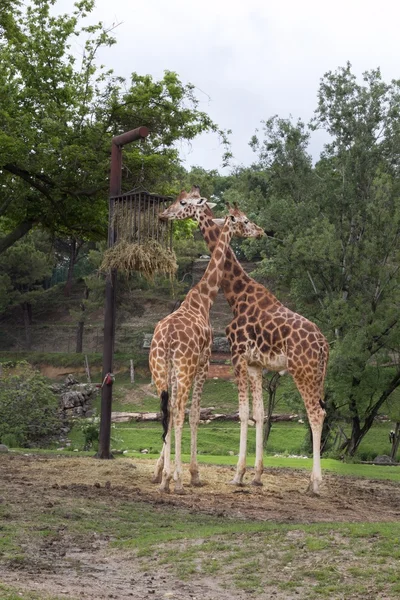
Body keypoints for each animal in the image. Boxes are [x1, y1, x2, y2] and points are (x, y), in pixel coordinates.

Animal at [148, 204, 264, 494]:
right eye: (245, 220)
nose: (260, 231)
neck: (203, 298)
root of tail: (167, 339)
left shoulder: (175, 371)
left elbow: (174, 413)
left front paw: (164, 474)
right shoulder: (204, 361)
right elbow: (194, 415)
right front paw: (192, 475)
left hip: (160, 369)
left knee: (167, 411)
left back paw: (167, 480)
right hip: (185, 367)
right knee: (179, 412)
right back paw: (177, 481)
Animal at [161, 185, 330, 494]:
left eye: (182, 203)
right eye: (246, 219)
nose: (262, 231)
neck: (236, 294)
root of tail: (324, 346)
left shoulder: (236, 354)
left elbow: (242, 412)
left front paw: (238, 474)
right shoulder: (255, 364)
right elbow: (259, 414)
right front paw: (256, 475)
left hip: (303, 371)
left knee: (315, 414)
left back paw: (315, 483)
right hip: (318, 374)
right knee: (320, 411)